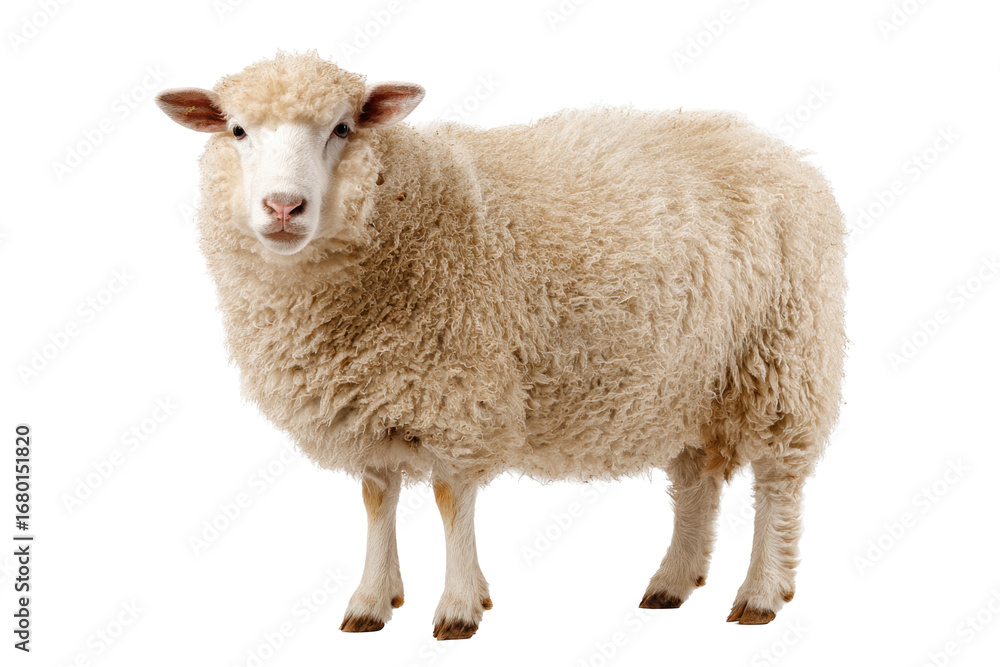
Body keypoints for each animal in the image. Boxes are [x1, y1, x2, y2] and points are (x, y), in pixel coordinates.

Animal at [155, 51, 846, 640]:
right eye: (237, 130)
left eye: (343, 128)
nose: (283, 206)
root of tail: (780, 151)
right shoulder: (370, 400)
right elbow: (378, 499)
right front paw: (372, 602)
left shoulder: (458, 392)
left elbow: (449, 500)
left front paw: (460, 608)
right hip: (691, 380)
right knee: (696, 479)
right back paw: (672, 583)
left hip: (782, 356)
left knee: (777, 481)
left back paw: (761, 593)